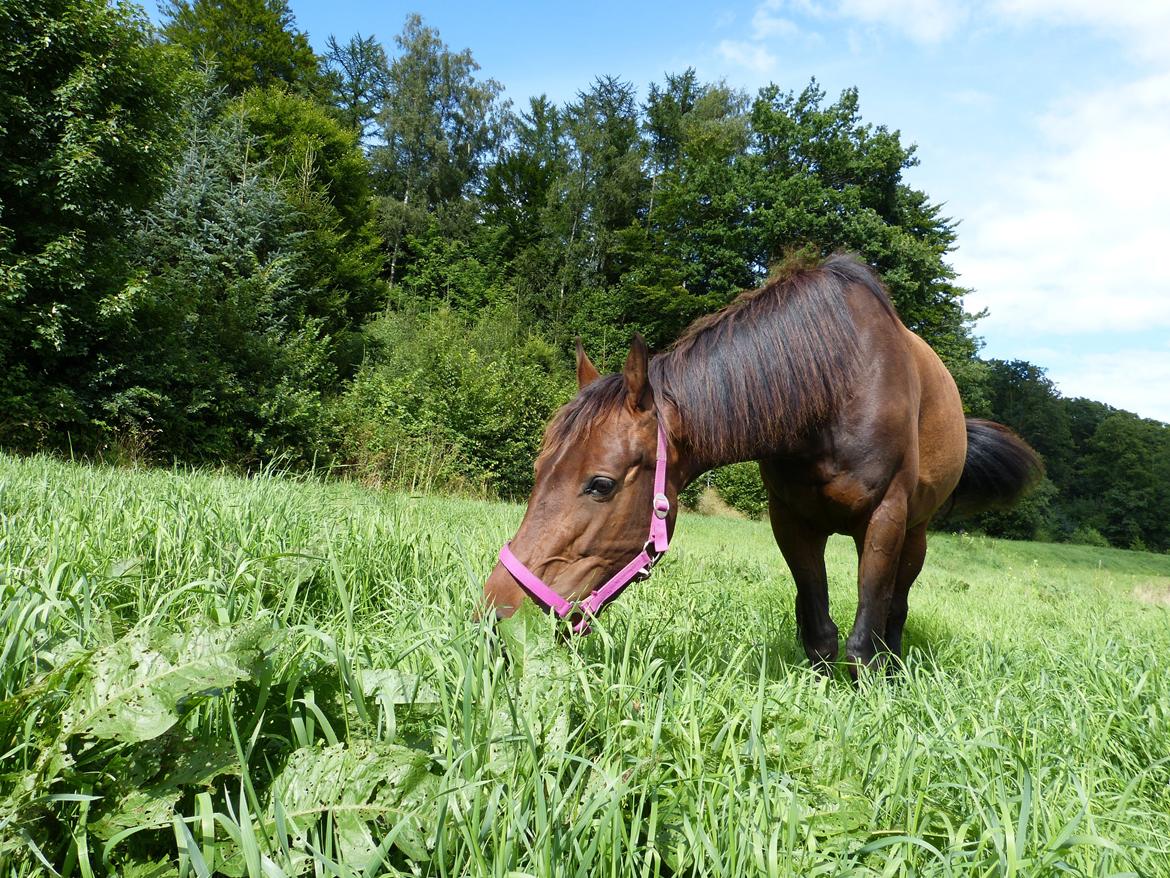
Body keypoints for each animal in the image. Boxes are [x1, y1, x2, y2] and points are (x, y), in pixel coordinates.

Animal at [484, 254, 1043, 674]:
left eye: (599, 484)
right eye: (538, 472)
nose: (496, 612)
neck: (836, 386)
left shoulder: (886, 517)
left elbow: (864, 638)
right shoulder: (790, 521)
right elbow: (819, 630)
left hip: (916, 532)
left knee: (896, 607)